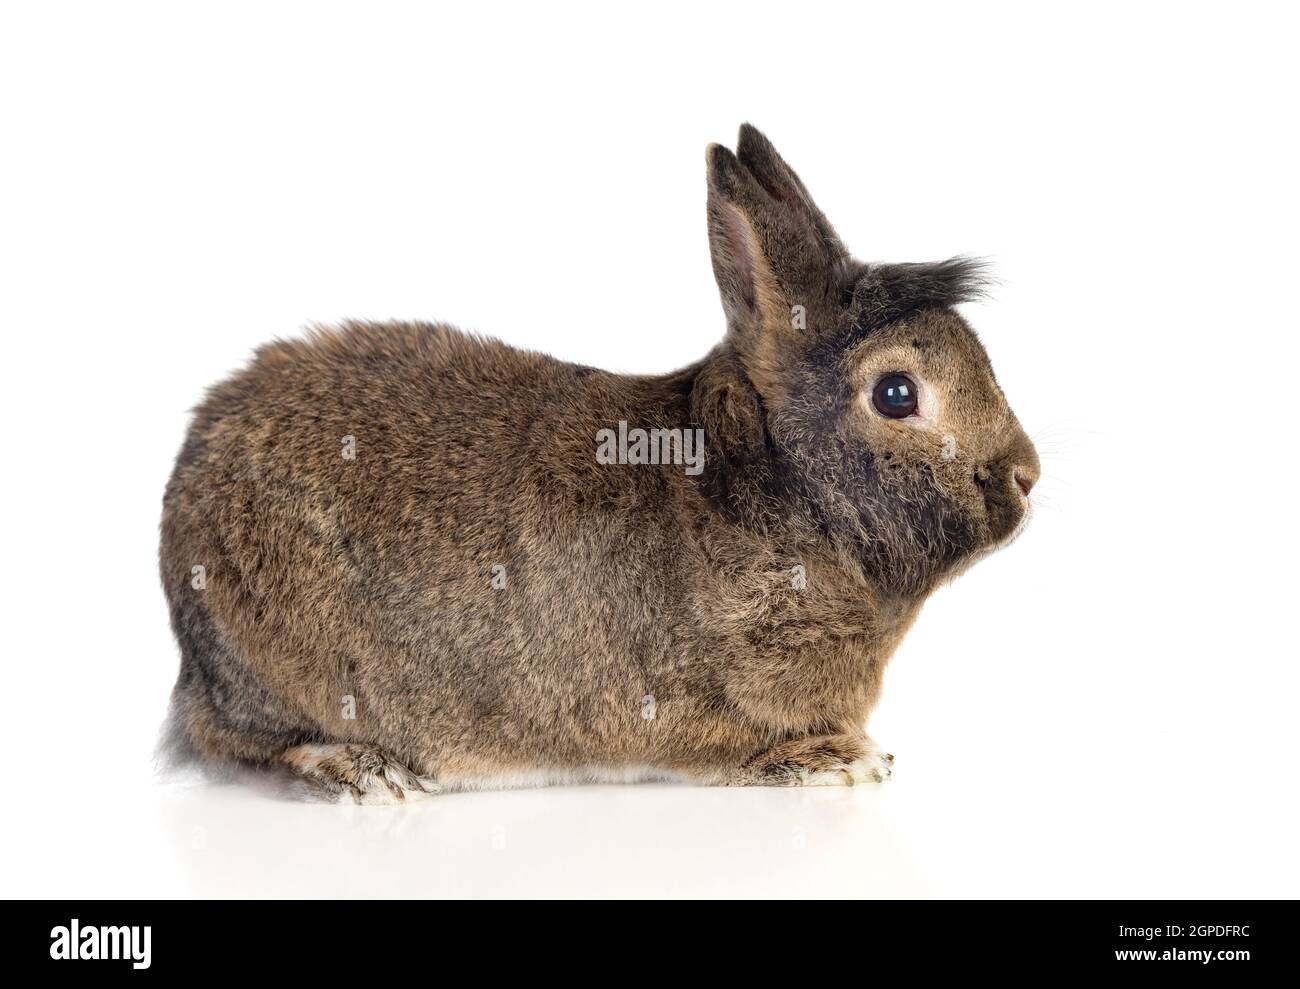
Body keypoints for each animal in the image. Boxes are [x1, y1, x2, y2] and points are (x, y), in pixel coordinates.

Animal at [159, 124, 1039, 802]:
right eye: (896, 393)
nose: (1026, 475)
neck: (775, 492)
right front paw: (841, 761)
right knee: (249, 743)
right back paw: (363, 770)